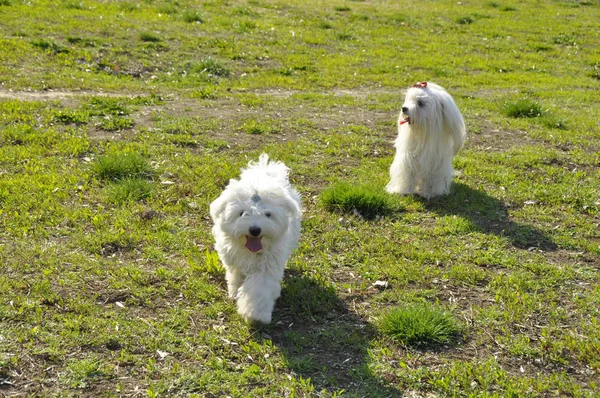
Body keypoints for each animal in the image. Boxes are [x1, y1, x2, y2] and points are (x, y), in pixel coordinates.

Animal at [212, 154, 304, 324]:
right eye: (242, 213)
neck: (249, 250)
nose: (255, 230)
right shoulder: (232, 256)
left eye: (268, 214)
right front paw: (236, 292)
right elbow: (235, 274)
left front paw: (256, 313)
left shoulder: (267, 266)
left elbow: (259, 288)